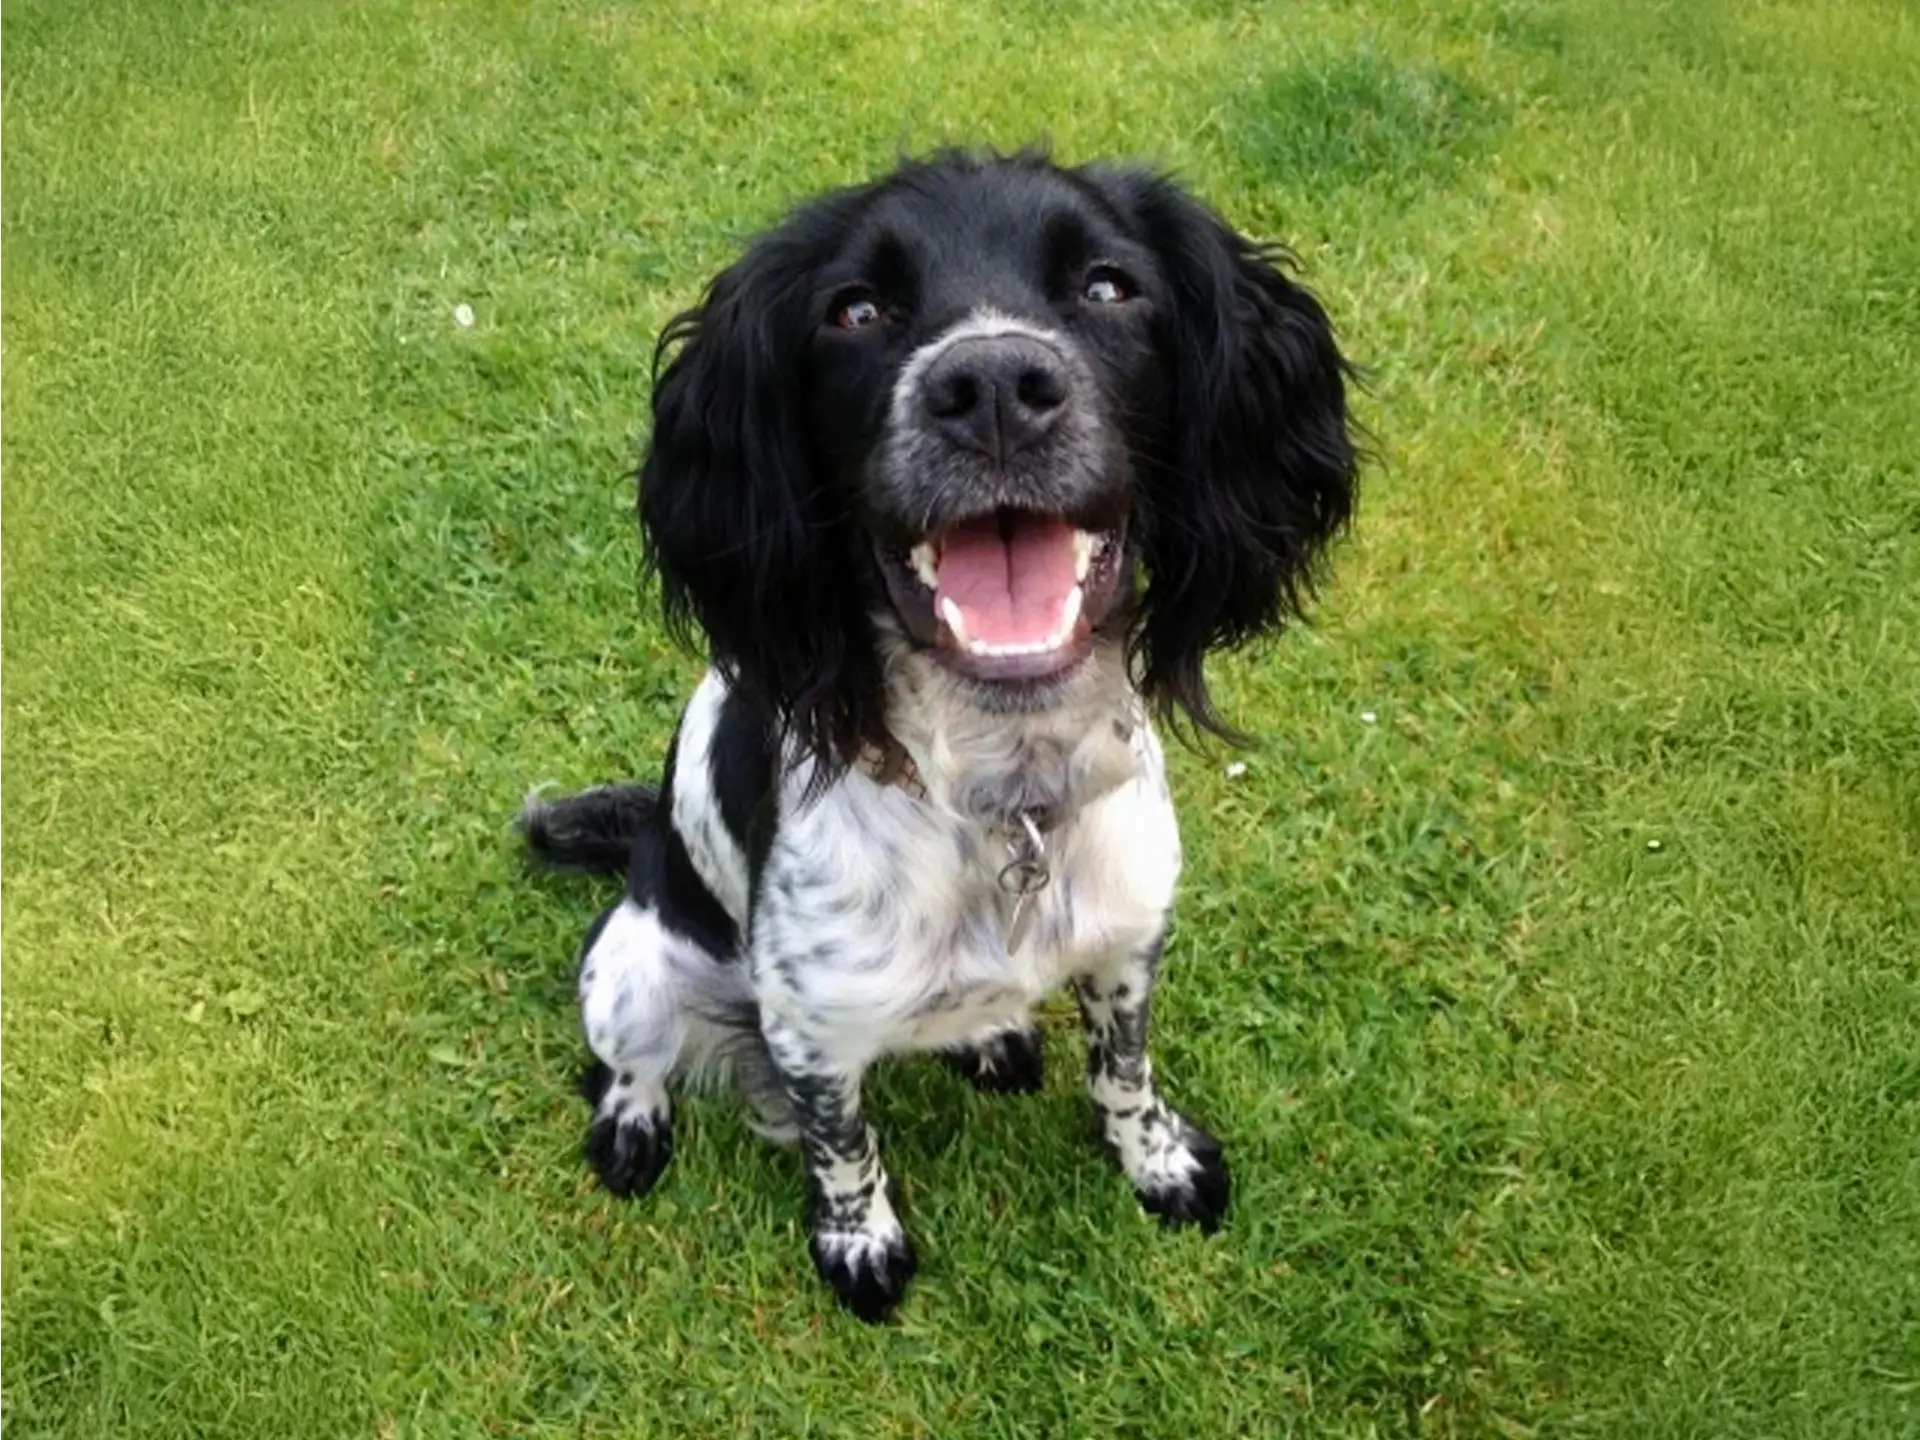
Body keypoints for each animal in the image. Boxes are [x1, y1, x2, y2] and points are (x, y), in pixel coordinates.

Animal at [526, 152, 1359, 1328]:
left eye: (1108, 286)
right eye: (855, 310)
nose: (996, 386)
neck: (1005, 791)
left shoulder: (1128, 940)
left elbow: (1125, 1071)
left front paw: (1157, 1163)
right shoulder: (808, 1026)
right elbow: (841, 1145)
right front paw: (860, 1245)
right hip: (627, 967)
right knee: (628, 1061)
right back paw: (633, 1128)